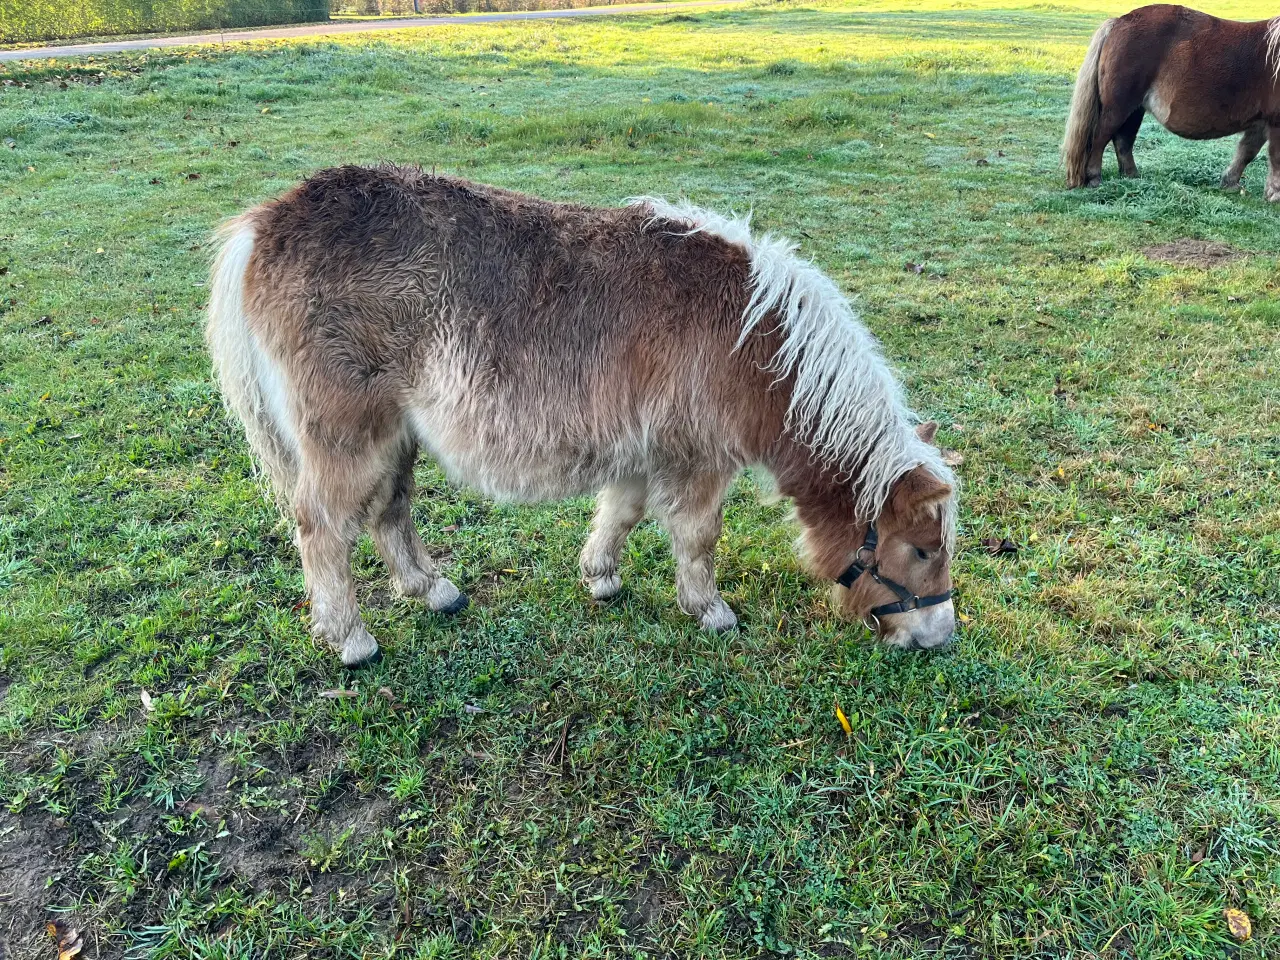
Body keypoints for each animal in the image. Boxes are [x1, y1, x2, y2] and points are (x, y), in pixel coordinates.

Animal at [204, 165, 957, 665]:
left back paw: (432, 590)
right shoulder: (698, 459)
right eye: (922, 549)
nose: (940, 636)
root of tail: (265, 223)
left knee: (390, 509)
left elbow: (619, 514)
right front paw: (709, 610)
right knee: (322, 525)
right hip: (348, 438)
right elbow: (698, 537)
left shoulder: (642, 451)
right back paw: (352, 638)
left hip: (394, 435)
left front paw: (601, 578)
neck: (754, 338)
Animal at [1059, 2, 1280, 197]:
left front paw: (1230, 183)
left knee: (1123, 139)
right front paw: (1274, 195)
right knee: (1100, 137)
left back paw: (1132, 177)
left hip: (1135, 109)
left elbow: (1246, 152)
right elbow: (1274, 158)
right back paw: (1094, 178)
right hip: (1118, 107)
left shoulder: (1261, 122)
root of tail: (1119, 22)